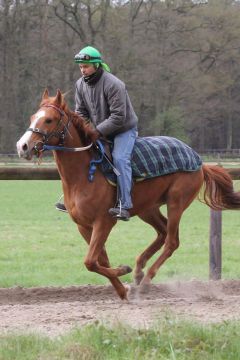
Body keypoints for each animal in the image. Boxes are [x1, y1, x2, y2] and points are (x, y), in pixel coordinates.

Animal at [16, 88, 240, 300]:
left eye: (49, 119)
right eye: (32, 117)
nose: (23, 146)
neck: (83, 174)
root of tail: (199, 161)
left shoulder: (104, 221)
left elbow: (90, 261)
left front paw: (124, 271)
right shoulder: (83, 226)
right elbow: (99, 260)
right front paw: (123, 289)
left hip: (177, 201)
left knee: (172, 241)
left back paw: (146, 280)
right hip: (147, 208)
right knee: (163, 232)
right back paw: (139, 270)